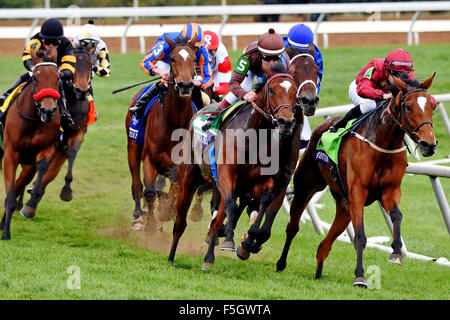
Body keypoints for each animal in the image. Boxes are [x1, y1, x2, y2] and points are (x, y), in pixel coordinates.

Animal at [0, 48, 60, 240]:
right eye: (35, 79)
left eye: (58, 78)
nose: (48, 111)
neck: (33, 119)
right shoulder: (10, 154)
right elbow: (11, 192)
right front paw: (6, 233)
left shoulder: (44, 150)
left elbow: (42, 166)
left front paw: (33, 194)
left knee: (20, 183)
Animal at [18, 47, 93, 219]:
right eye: (75, 65)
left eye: (90, 65)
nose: (81, 91)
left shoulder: (76, 133)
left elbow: (71, 154)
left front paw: (66, 191)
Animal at [125, 34, 199, 230]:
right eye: (172, 58)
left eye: (194, 59)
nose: (185, 85)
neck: (174, 122)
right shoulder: (149, 158)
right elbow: (150, 191)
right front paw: (151, 227)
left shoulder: (180, 164)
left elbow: (173, 191)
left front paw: (167, 211)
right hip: (132, 148)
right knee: (137, 185)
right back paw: (139, 216)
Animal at [171, 62, 300, 270]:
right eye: (272, 90)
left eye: (295, 93)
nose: (286, 122)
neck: (251, 137)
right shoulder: (227, 174)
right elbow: (232, 205)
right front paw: (230, 239)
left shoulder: (261, 182)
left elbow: (264, 201)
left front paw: (248, 240)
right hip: (189, 178)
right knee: (181, 220)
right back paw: (173, 255)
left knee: (218, 216)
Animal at [276, 73, 438, 288]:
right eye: (409, 107)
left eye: (432, 106)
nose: (429, 144)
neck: (383, 143)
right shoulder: (358, 193)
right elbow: (360, 236)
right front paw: (360, 277)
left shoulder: (390, 190)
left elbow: (397, 215)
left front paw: (396, 253)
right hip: (306, 187)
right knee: (293, 227)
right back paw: (280, 263)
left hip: (344, 207)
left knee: (324, 245)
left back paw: (318, 274)